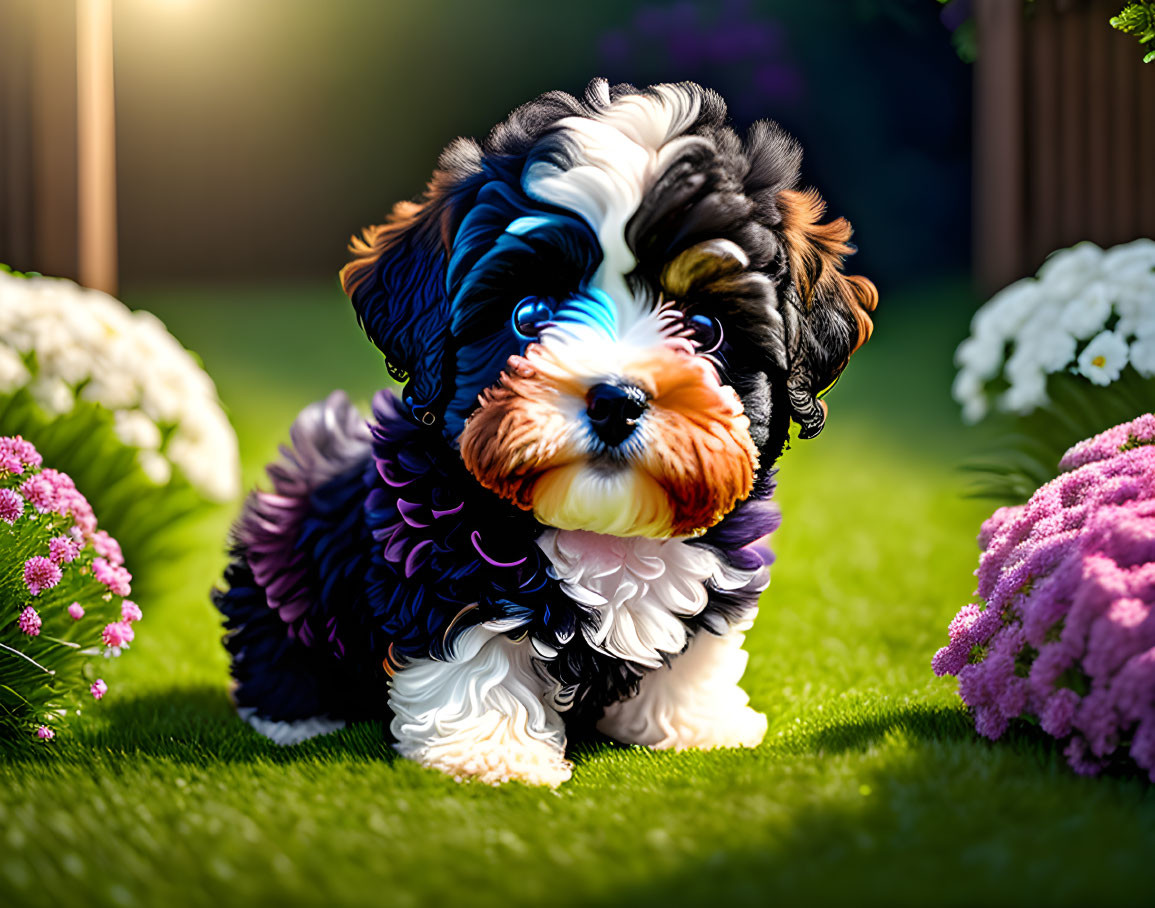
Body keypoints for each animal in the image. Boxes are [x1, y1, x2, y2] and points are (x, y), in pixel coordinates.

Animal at [214, 79, 873, 785]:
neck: (603, 534)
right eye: (528, 315)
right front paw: (492, 754)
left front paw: (694, 724)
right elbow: (473, 647)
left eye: (705, 328)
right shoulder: (440, 559)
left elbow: (701, 642)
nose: (616, 400)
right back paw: (294, 718)